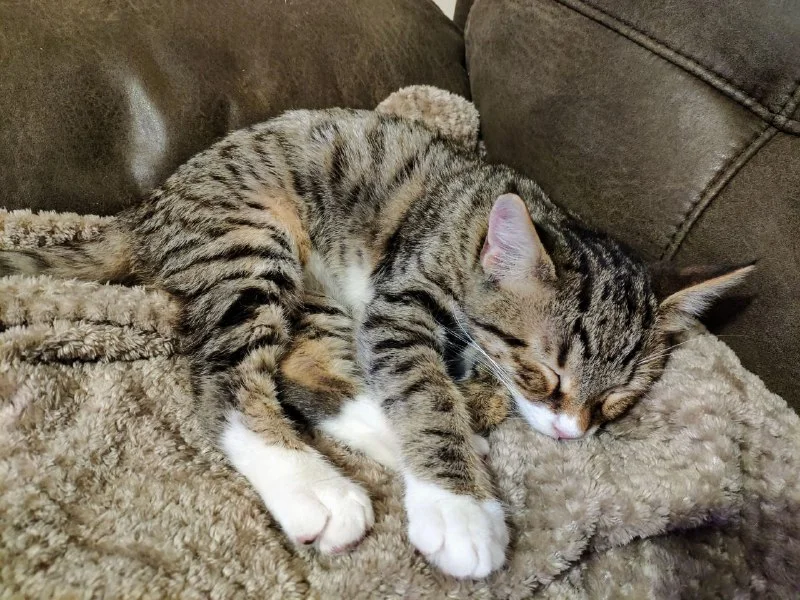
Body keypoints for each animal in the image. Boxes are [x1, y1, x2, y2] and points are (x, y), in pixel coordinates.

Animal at [0, 107, 751, 579]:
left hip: (317, 295)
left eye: (618, 403)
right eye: (544, 373)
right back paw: (313, 486)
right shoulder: (403, 294)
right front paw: (460, 508)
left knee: (303, 370)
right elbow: (425, 387)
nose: (572, 432)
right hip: (249, 240)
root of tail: (146, 212)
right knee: (226, 373)